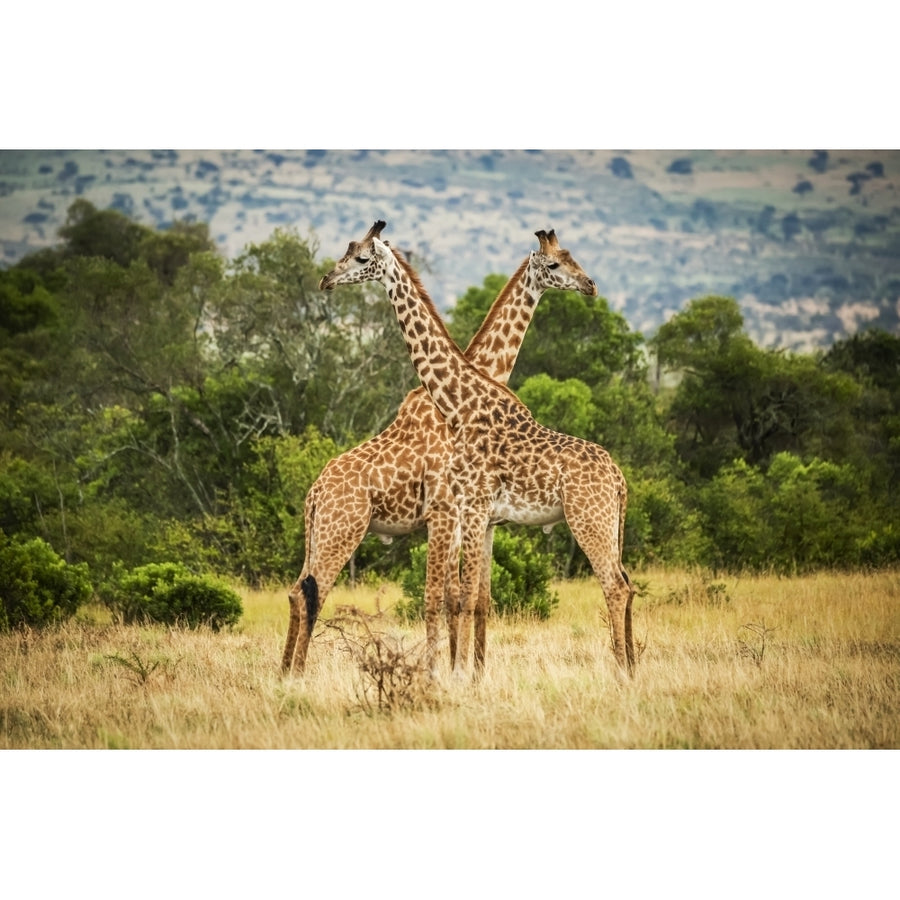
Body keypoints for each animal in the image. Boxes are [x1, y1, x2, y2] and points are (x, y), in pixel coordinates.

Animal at [312, 223, 636, 676]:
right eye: (556, 263)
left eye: (360, 257)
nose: (326, 279)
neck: (462, 400)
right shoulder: (470, 514)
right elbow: (466, 598)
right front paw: (462, 673)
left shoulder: (470, 509)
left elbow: (460, 598)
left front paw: (455, 674)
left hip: (590, 521)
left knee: (617, 586)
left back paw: (624, 671)